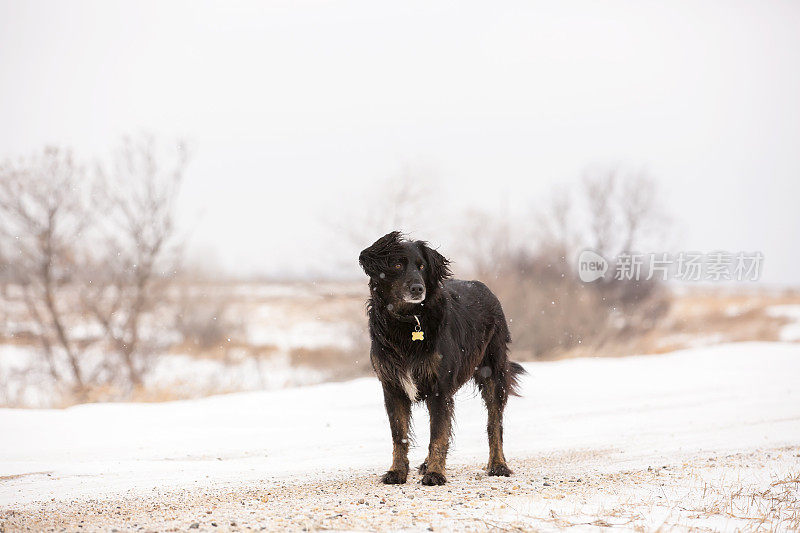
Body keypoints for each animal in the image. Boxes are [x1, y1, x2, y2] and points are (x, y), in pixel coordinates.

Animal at [358, 231, 524, 484]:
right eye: (397, 265)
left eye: (422, 266)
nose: (418, 289)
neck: (409, 322)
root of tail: (484, 288)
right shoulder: (393, 387)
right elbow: (400, 436)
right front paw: (397, 471)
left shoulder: (439, 388)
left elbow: (438, 434)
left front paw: (436, 473)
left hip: (493, 374)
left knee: (494, 425)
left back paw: (498, 464)